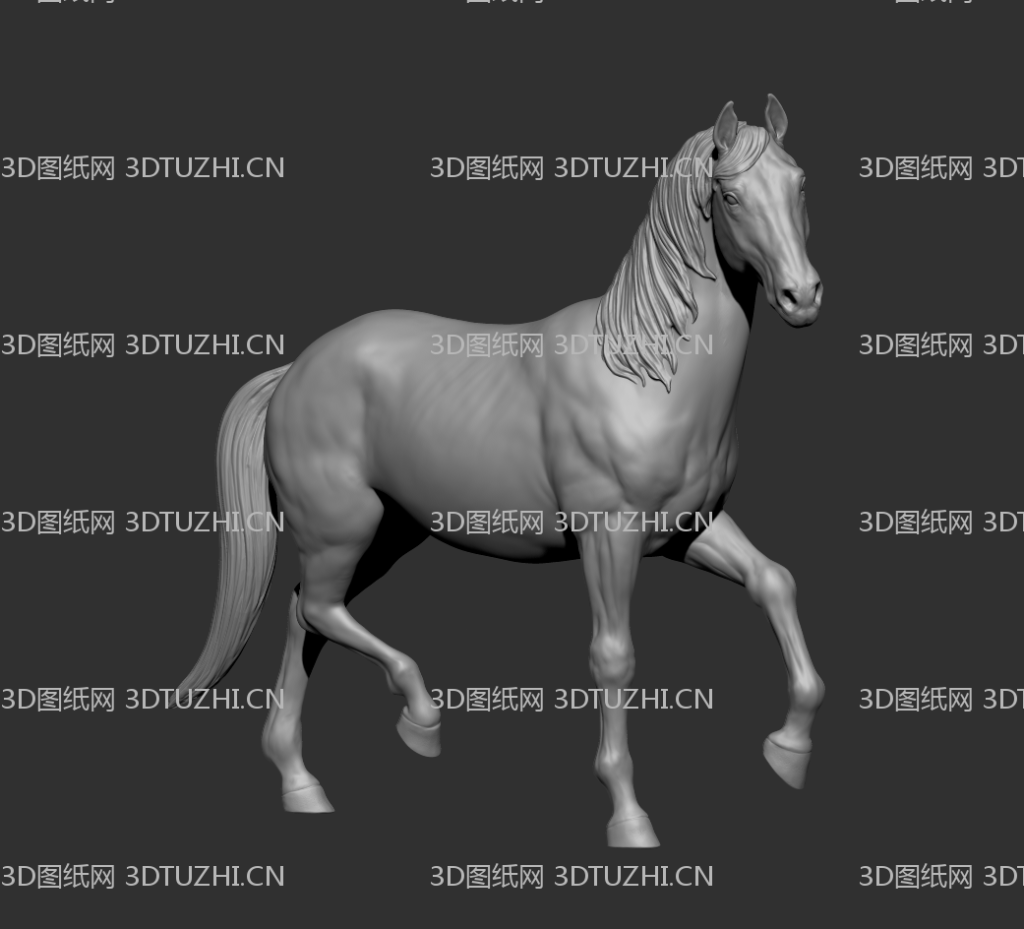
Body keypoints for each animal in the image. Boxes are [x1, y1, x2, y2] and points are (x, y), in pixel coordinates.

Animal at [179, 95, 825, 848]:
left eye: (799, 183)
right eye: (730, 196)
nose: (802, 295)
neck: (648, 375)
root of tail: (293, 372)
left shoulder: (693, 530)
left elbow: (774, 582)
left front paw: (789, 749)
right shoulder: (610, 537)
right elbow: (614, 655)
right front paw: (629, 817)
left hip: (386, 533)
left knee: (303, 613)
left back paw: (301, 783)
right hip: (345, 527)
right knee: (316, 608)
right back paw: (419, 720)